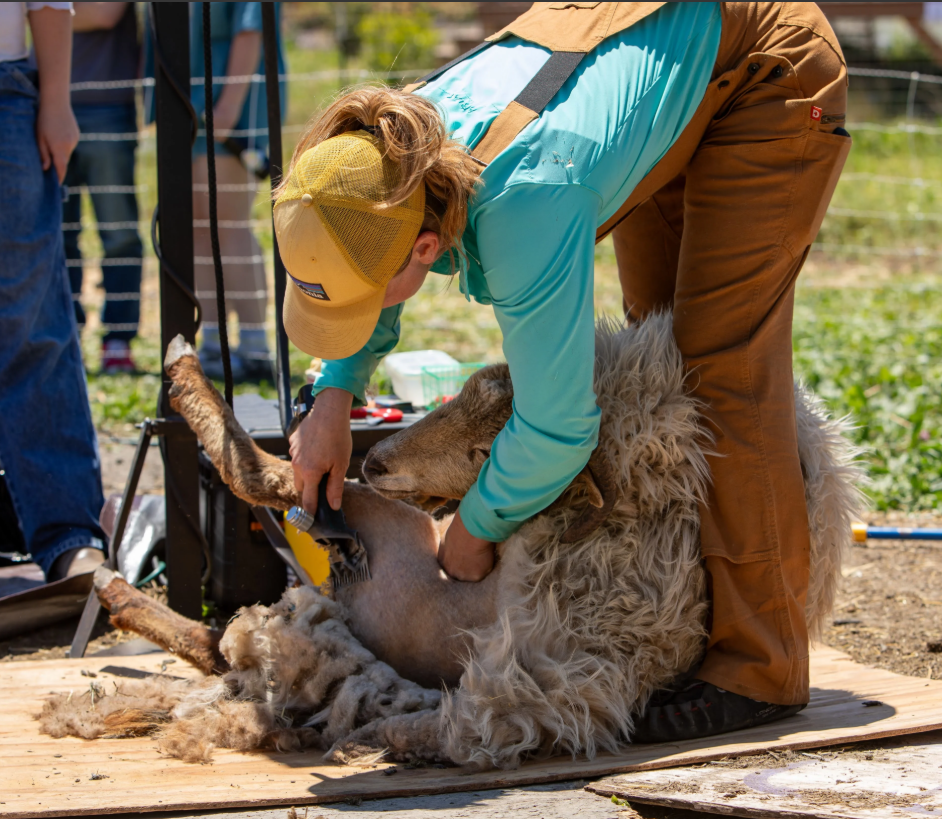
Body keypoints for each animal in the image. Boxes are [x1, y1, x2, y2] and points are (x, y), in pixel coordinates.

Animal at [39, 314, 863, 769]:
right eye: (463, 396)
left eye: (490, 448)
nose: (374, 458)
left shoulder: (541, 676)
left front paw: (390, 738)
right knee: (221, 620)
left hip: (380, 550)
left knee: (259, 492)